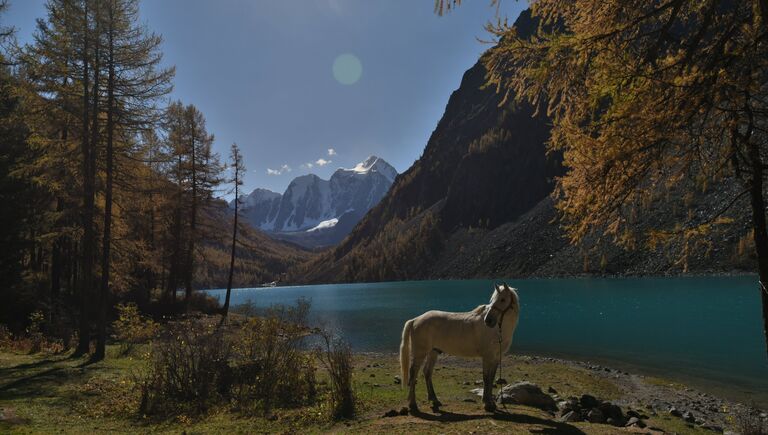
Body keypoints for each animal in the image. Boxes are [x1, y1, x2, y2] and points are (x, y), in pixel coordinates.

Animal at [400, 284, 520, 414]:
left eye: (502, 299)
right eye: (492, 300)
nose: (488, 321)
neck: (497, 330)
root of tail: (415, 320)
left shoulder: (496, 357)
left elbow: (491, 378)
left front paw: (491, 403)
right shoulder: (487, 357)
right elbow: (486, 378)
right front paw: (487, 404)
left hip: (433, 352)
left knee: (427, 372)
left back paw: (434, 400)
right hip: (420, 353)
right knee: (413, 375)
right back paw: (413, 404)